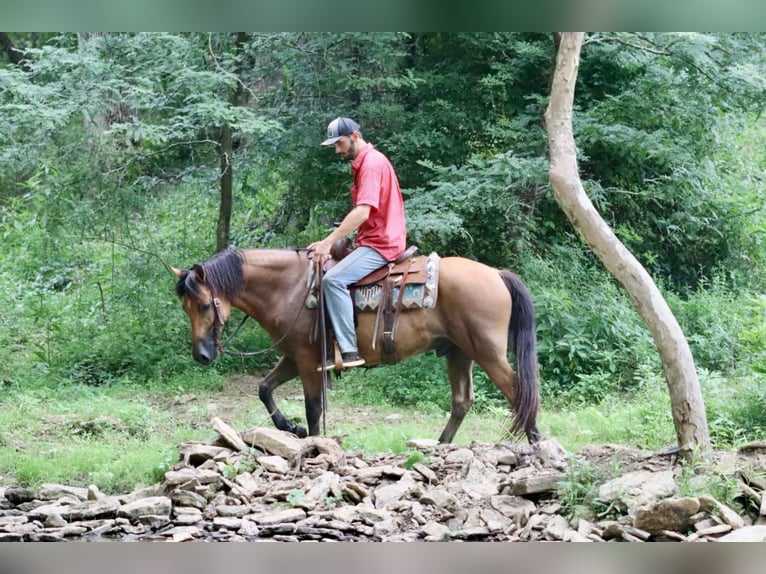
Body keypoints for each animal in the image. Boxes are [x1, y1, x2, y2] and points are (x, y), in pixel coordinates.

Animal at [172, 248, 541, 444]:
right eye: (185, 307)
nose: (201, 355)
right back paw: (440, 446)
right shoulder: (292, 356)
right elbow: (264, 389)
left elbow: (314, 408)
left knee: (519, 391)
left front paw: (312, 441)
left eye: (204, 305)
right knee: (462, 401)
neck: (290, 288)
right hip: (459, 352)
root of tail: (496, 273)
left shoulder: (307, 359)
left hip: (487, 352)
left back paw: (535, 443)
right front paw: (290, 427)